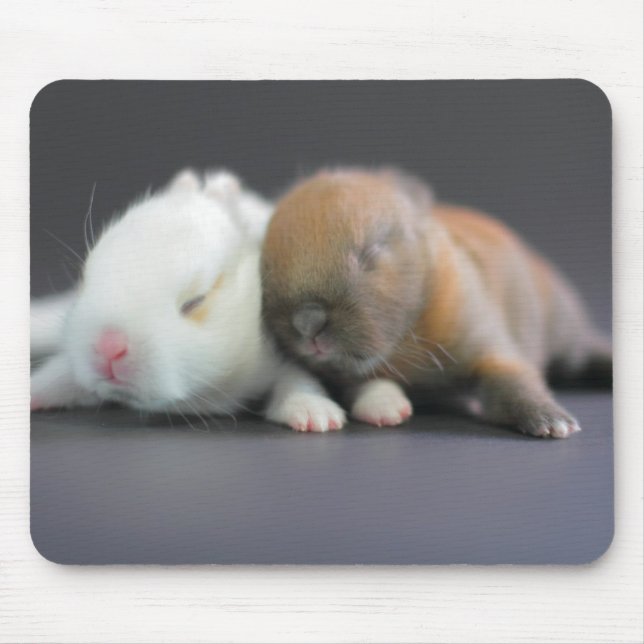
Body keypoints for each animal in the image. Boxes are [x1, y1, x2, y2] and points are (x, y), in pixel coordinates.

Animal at [30, 169, 346, 432]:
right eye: (85, 279)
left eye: (195, 301)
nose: (109, 346)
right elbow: (59, 375)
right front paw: (32, 393)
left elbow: (298, 380)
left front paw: (316, 415)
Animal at [260, 168, 612, 438]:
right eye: (268, 266)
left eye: (371, 252)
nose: (308, 322)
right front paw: (385, 408)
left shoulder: (488, 346)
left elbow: (513, 380)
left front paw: (553, 422)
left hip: (566, 335)